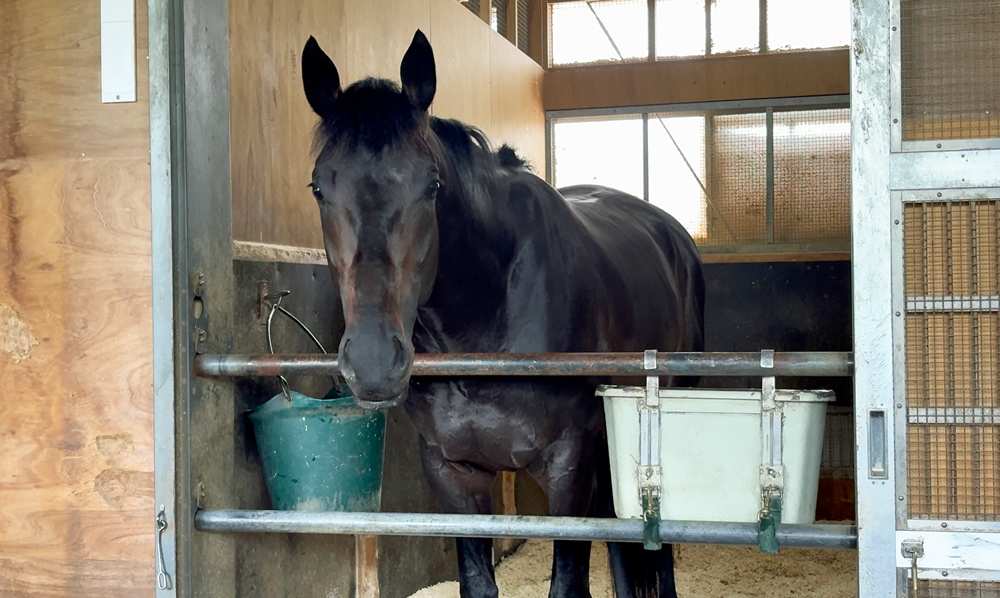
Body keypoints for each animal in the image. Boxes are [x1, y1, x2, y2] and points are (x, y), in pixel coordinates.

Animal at [301, 30, 705, 598]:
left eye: (432, 186)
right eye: (319, 187)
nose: (375, 363)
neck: (485, 321)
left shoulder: (568, 466)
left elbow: (567, 583)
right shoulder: (452, 471)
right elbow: (477, 580)